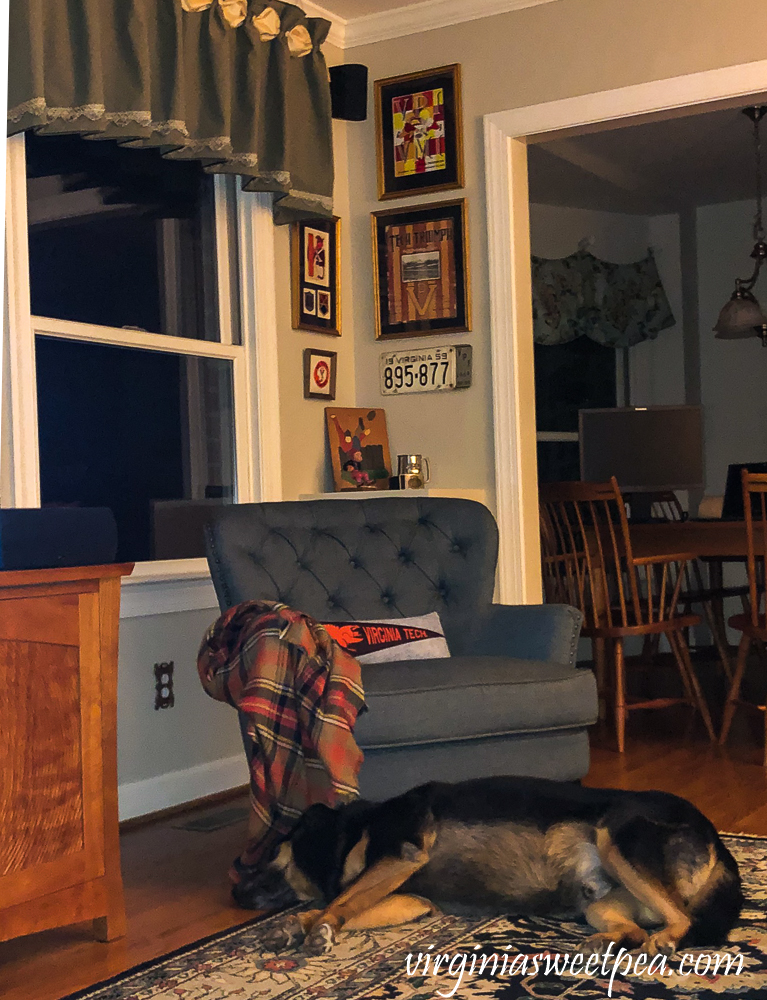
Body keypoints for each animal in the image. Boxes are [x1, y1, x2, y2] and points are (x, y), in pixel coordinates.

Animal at [258, 776, 744, 956]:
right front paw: (298, 925)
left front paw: (316, 926)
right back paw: (603, 944)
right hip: (599, 904)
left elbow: (340, 900)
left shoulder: (399, 854)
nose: (242, 883)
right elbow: (348, 904)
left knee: (681, 921)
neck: (355, 828)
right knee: (634, 929)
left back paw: (664, 942)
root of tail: (717, 839)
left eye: (270, 849)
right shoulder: (408, 898)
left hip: (615, 837)